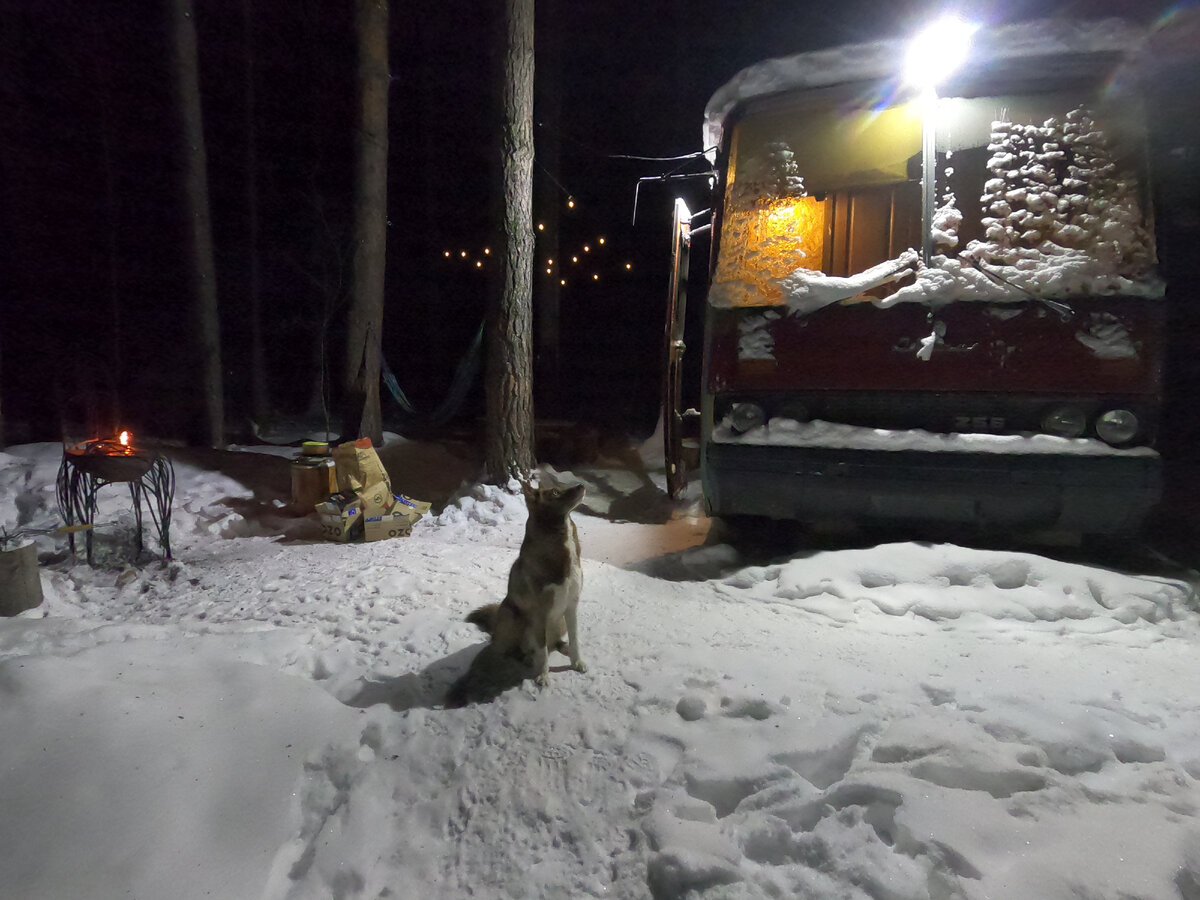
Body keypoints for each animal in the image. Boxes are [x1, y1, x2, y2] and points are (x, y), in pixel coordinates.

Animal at [460, 480, 588, 691]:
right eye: (555, 492)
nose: (582, 485)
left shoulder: (571, 607)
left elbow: (575, 639)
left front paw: (577, 662)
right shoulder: (539, 614)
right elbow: (542, 652)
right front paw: (543, 676)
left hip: (558, 621)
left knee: (554, 643)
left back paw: (562, 648)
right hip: (511, 615)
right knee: (514, 649)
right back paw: (526, 657)